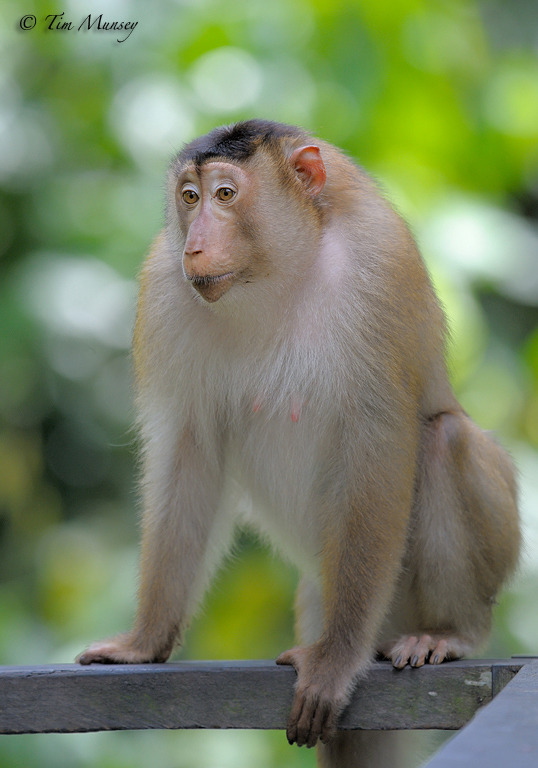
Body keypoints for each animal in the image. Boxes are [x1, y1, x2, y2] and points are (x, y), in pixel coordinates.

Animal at [77, 120, 516, 768]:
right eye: (190, 198)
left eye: (226, 194)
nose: (195, 245)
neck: (277, 275)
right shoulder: (163, 290)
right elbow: (189, 454)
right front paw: (145, 642)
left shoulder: (381, 266)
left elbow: (378, 442)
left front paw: (335, 661)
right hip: (317, 594)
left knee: (446, 441)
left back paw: (449, 632)